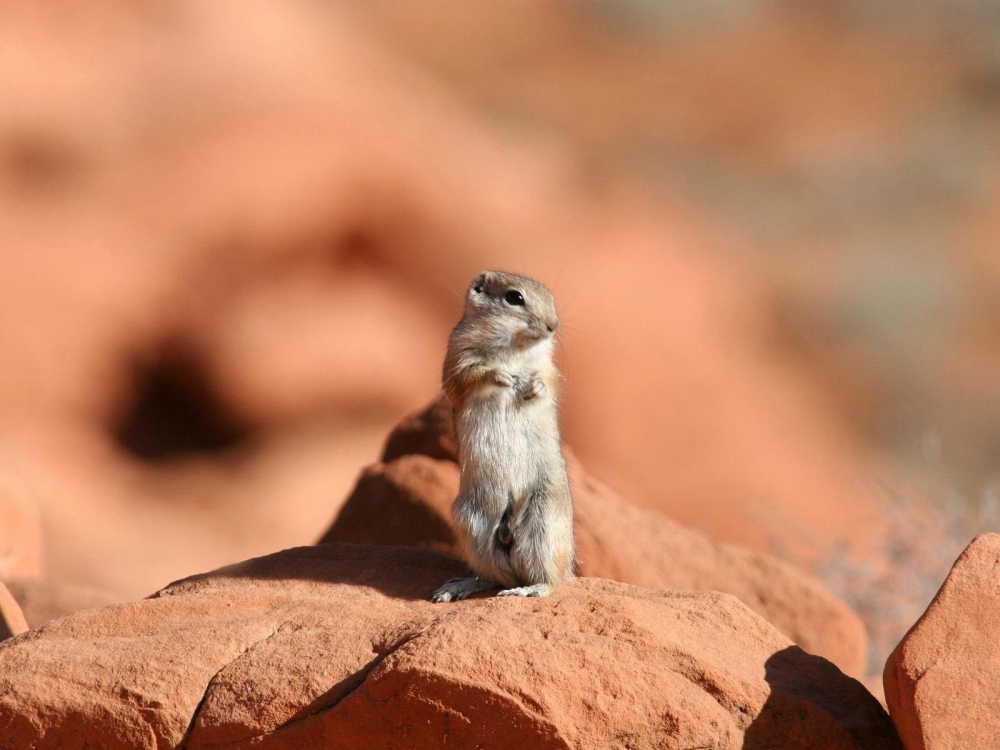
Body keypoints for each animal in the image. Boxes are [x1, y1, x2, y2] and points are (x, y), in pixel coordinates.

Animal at [432, 270, 580, 604]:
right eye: (515, 297)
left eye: (550, 297)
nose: (553, 325)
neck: (515, 348)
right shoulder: (457, 358)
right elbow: (469, 377)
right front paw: (501, 376)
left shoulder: (549, 367)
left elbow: (549, 382)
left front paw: (532, 386)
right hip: (472, 522)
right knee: (495, 575)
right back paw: (454, 588)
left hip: (543, 519)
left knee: (551, 580)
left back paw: (528, 589)